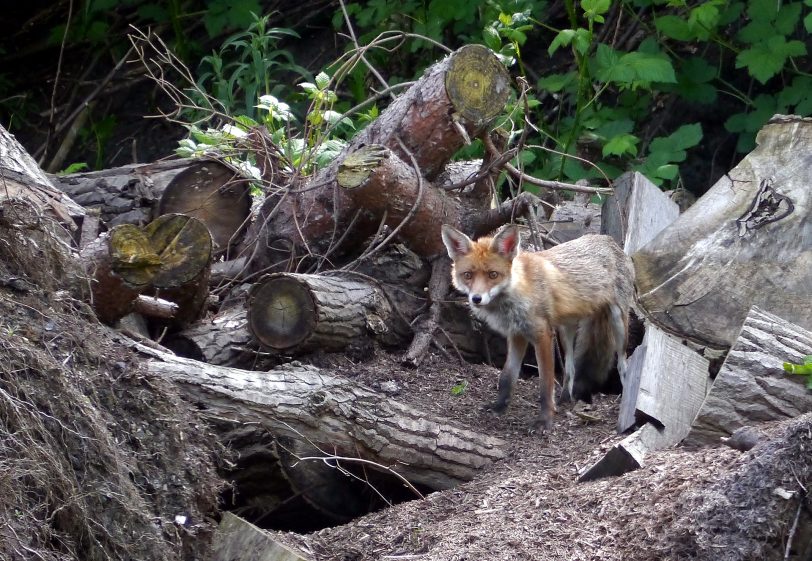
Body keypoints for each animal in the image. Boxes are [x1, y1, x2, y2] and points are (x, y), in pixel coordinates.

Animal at [444, 223, 636, 428]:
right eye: (468, 275)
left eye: (493, 275)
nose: (476, 299)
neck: (518, 292)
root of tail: (608, 239)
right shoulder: (517, 334)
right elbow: (507, 377)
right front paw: (498, 407)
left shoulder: (542, 335)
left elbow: (546, 383)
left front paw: (544, 420)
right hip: (565, 331)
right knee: (570, 368)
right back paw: (565, 400)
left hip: (618, 324)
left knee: (622, 365)